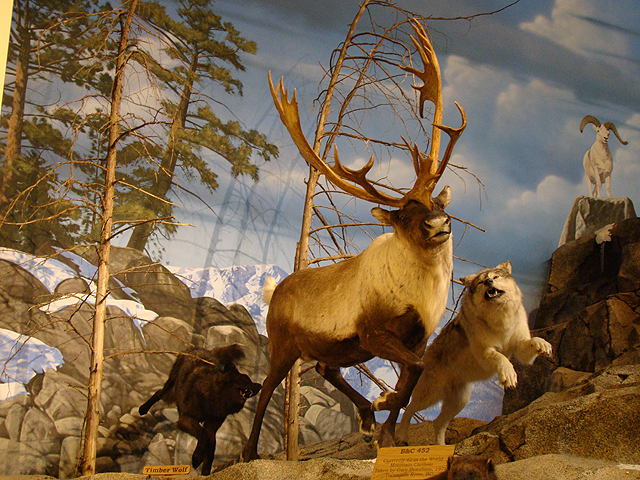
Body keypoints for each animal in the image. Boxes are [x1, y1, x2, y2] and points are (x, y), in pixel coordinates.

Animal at [240, 21, 466, 462]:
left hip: (335, 348)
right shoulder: (373, 333)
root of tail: (273, 291)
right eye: (403, 215)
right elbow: (411, 376)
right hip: (284, 345)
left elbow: (411, 378)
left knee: (325, 369)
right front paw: (384, 415)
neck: (422, 293)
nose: (438, 224)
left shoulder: (418, 338)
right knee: (267, 388)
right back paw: (249, 452)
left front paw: (387, 432)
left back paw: (365, 419)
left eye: (435, 201)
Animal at [395, 261, 552, 445]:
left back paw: (442, 446)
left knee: (437, 423)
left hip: (460, 402)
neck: (501, 319)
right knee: (409, 408)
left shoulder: (520, 348)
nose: (489, 282)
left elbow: (531, 342)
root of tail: (422, 358)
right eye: (482, 281)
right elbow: (500, 357)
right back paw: (401, 436)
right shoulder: (485, 352)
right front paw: (509, 374)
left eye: (495, 277)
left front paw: (543, 344)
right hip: (429, 396)